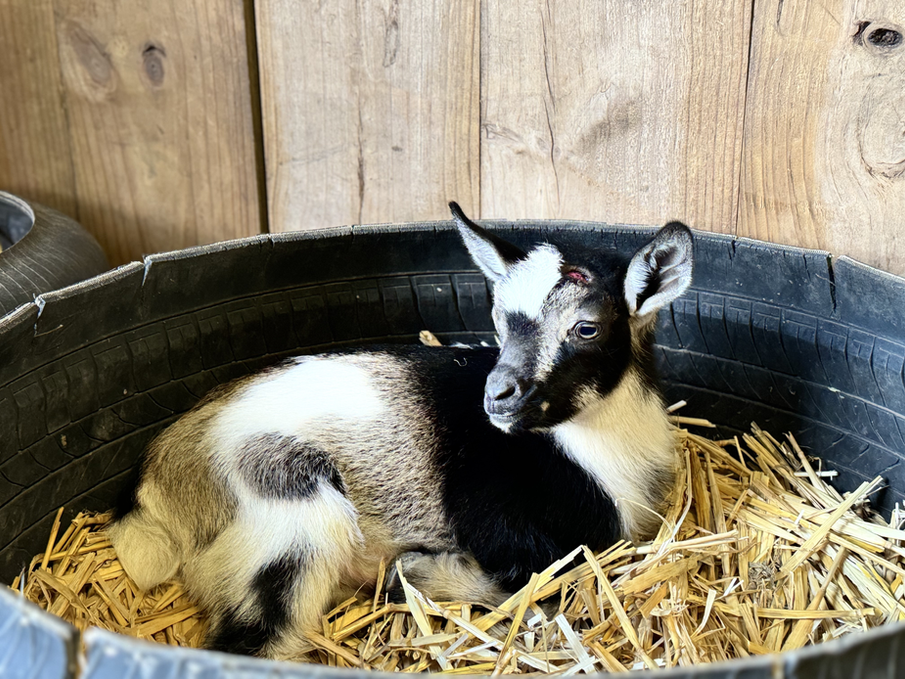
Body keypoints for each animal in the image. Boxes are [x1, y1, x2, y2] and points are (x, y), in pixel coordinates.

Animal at [107, 204, 693, 660]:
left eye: (586, 327)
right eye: (500, 318)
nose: (496, 395)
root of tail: (159, 483)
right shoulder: (506, 525)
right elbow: (542, 591)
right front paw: (418, 572)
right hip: (292, 512)